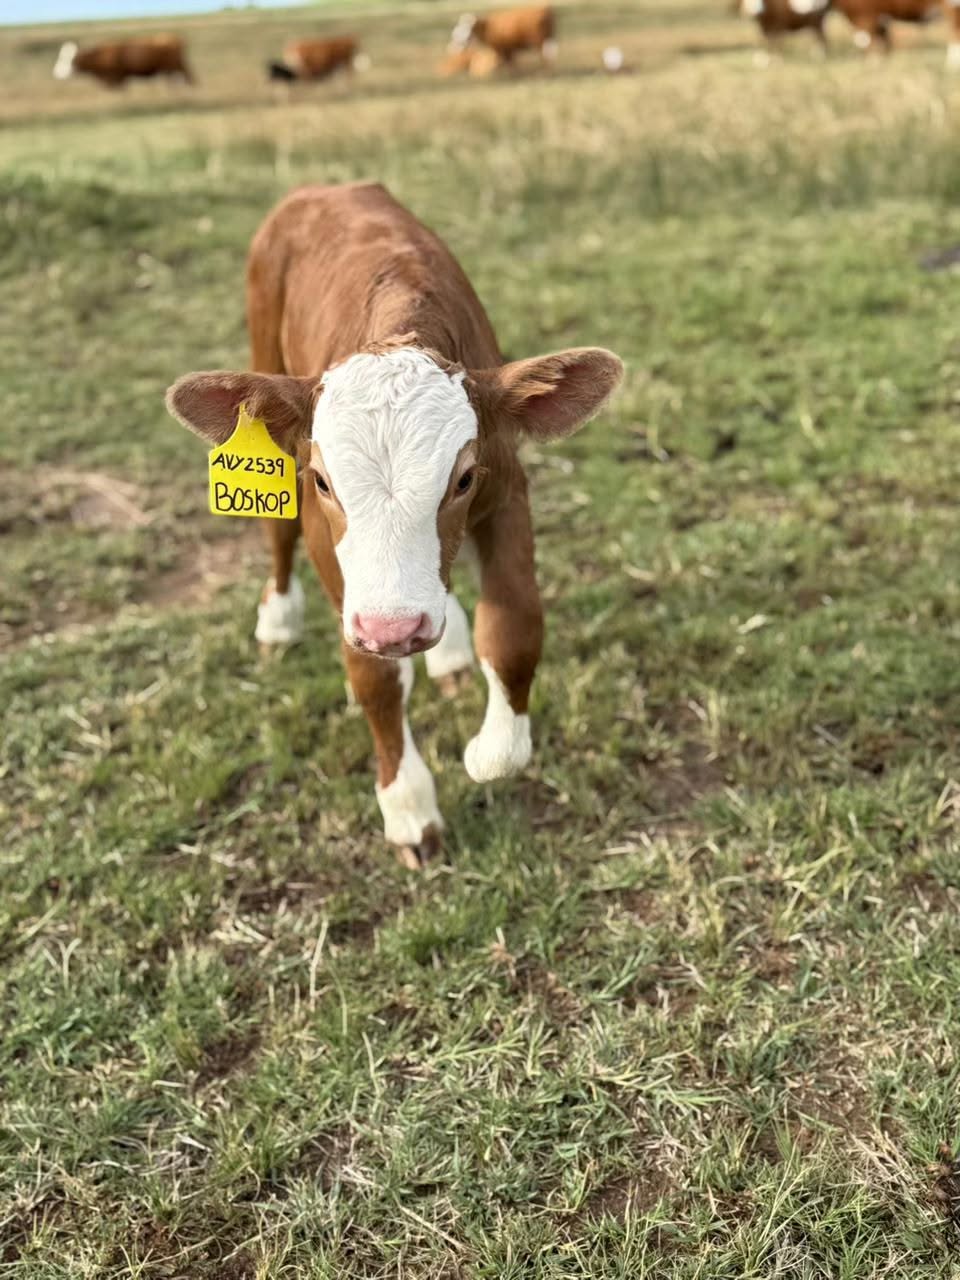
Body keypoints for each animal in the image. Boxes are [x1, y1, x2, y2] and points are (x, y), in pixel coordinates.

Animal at [165, 182, 622, 868]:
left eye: (463, 479)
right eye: (324, 482)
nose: (395, 627)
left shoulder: (507, 490)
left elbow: (515, 628)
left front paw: (490, 752)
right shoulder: (329, 543)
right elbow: (376, 677)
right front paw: (408, 808)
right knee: (277, 534)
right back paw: (278, 621)